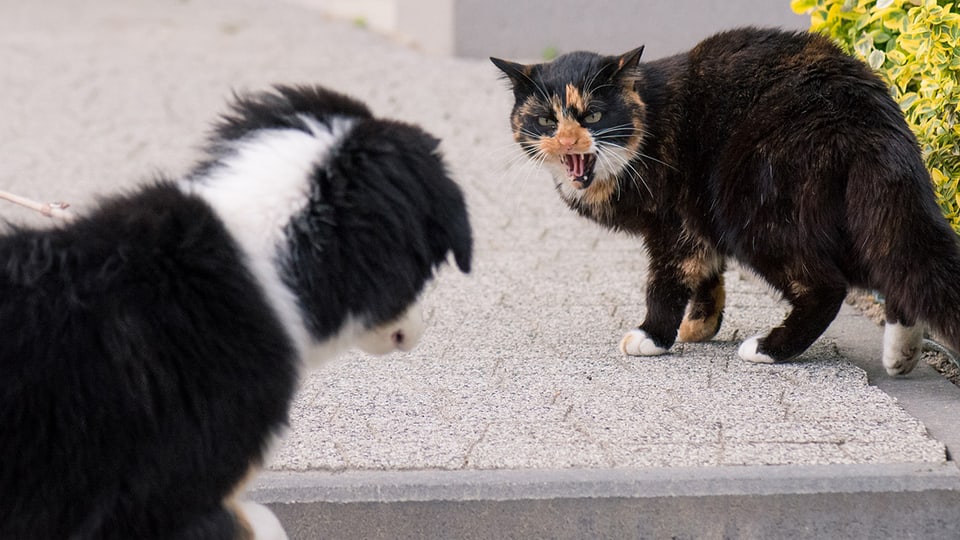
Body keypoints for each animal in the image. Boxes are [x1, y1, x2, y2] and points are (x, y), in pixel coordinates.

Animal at [492, 26, 960, 376]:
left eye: (592, 115)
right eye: (546, 119)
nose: (569, 141)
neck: (645, 127)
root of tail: (864, 110)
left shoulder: (675, 222)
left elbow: (668, 278)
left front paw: (653, 336)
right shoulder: (697, 220)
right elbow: (706, 274)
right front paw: (700, 325)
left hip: (752, 210)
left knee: (830, 285)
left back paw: (769, 348)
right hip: (853, 211)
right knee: (895, 263)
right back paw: (901, 354)